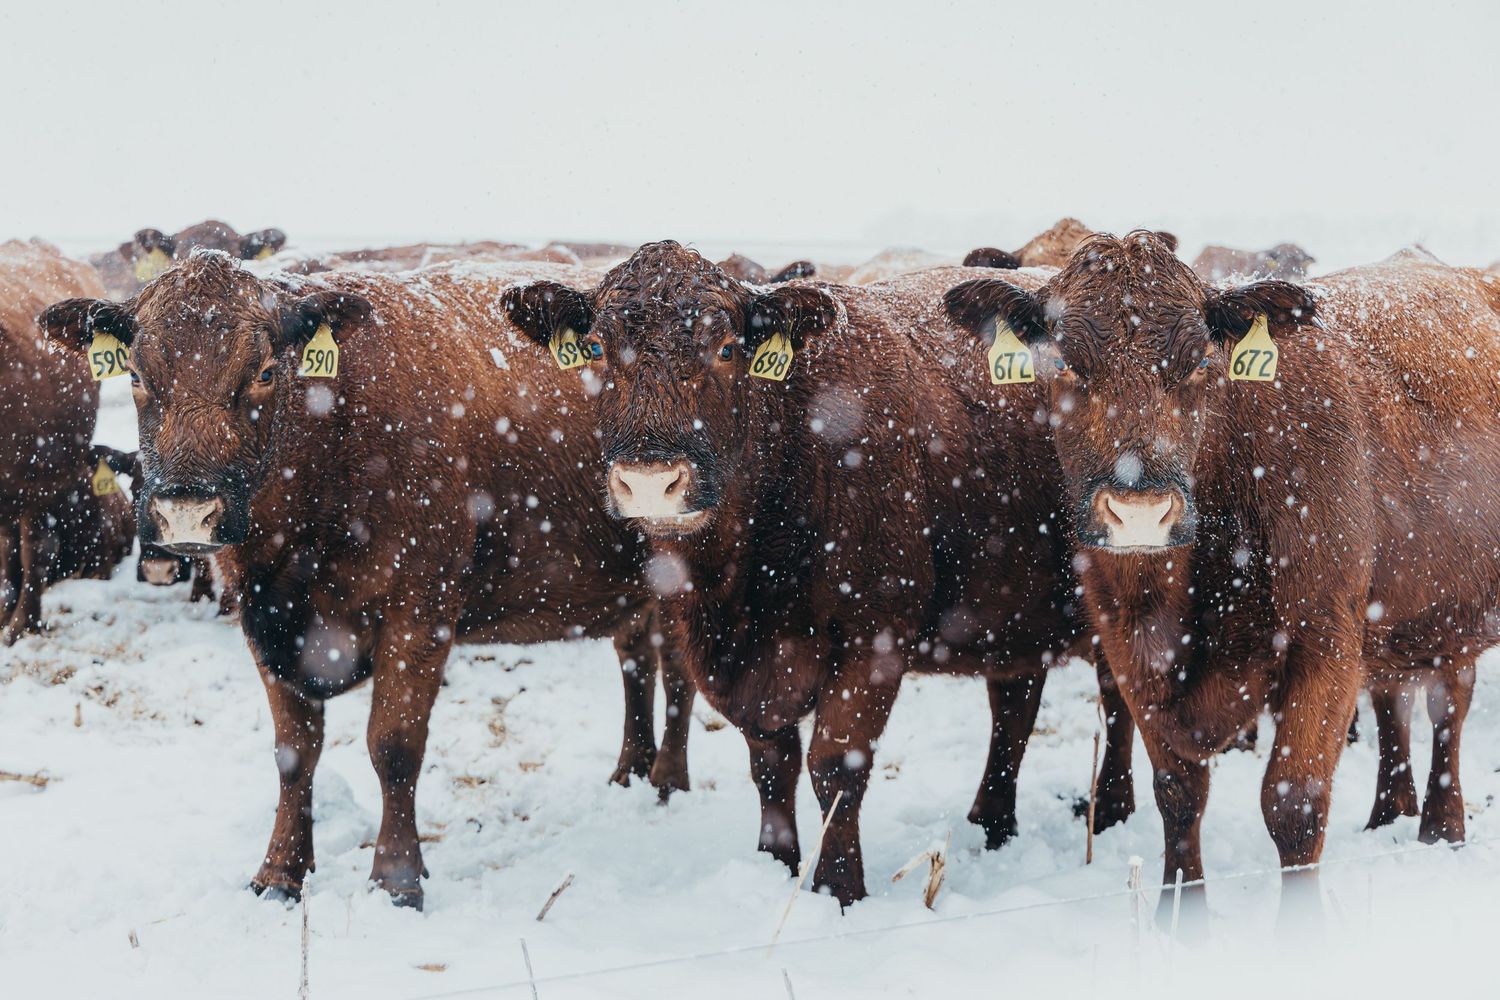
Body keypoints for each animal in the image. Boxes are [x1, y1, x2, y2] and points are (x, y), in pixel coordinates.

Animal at [40, 251, 696, 909]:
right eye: (136, 375)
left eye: (265, 371)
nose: (185, 510)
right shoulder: (264, 622)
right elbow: (293, 753)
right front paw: (278, 873)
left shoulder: (420, 611)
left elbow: (394, 746)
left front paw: (397, 880)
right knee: (636, 659)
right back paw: (630, 772)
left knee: (678, 674)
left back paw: (668, 780)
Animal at [498, 241, 1137, 907]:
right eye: (597, 347)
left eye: (727, 349)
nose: (651, 479)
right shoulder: (735, 662)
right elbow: (770, 765)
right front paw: (775, 865)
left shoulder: (872, 640)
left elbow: (835, 765)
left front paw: (838, 889)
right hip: (1012, 607)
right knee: (1014, 703)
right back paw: (992, 824)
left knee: (1117, 697)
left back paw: (1109, 812)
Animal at [944, 232, 1500, 906]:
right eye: (1066, 364)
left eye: (1199, 364)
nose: (1139, 511)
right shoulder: (1129, 650)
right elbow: (1179, 795)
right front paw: (1181, 913)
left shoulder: (1326, 643)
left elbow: (1294, 803)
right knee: (1404, 699)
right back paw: (1391, 815)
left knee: (1448, 706)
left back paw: (1442, 827)